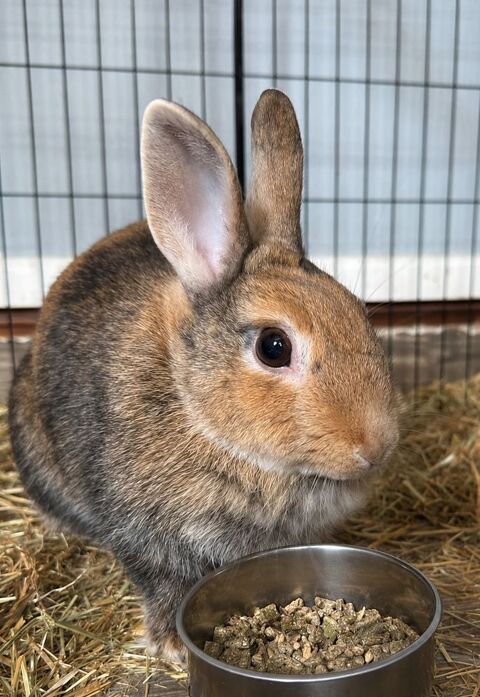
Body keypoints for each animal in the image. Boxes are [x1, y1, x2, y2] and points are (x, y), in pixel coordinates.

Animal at [8, 89, 399, 663]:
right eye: (274, 347)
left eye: (361, 314)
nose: (377, 445)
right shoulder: (143, 532)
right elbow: (161, 581)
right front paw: (171, 645)